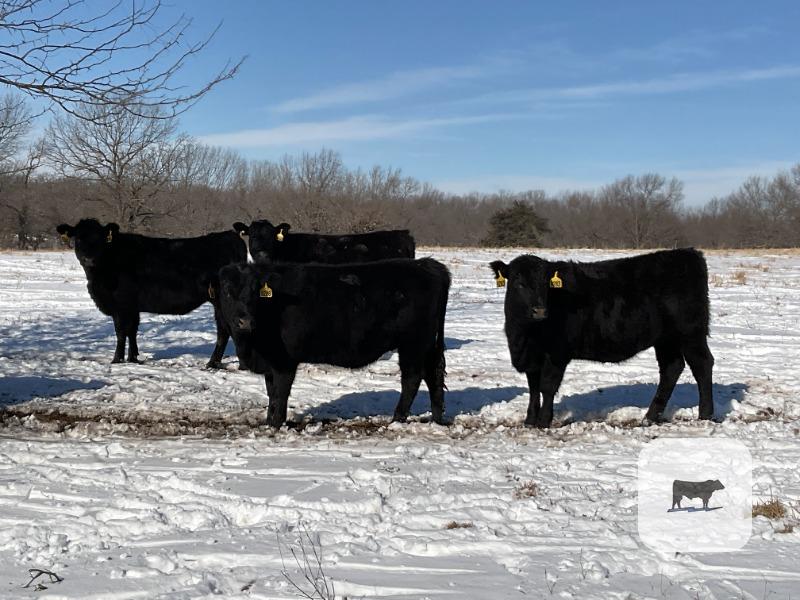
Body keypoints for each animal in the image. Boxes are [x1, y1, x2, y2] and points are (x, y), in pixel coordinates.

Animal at [56, 219, 247, 367]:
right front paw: (133, 358)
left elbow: (121, 332)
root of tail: (230, 236)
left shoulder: (121, 305)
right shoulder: (132, 307)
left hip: (222, 300)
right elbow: (132, 331)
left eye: (100, 239)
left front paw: (117, 359)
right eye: (78, 238)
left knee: (226, 328)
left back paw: (218, 363)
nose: (89, 258)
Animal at [218, 258, 450, 427]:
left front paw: (276, 424)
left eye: (254, 293)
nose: (246, 321)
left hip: (413, 343)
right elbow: (270, 392)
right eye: (227, 291)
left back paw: (397, 420)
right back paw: (436, 419)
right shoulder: (270, 361)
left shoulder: (285, 361)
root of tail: (425, 264)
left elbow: (280, 392)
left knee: (412, 378)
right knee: (433, 375)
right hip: (426, 345)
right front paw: (268, 421)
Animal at [489, 248, 715, 428]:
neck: (524, 335)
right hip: (666, 339)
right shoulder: (531, 357)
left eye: (546, 285)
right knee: (671, 368)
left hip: (691, 333)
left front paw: (544, 421)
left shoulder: (557, 354)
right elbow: (533, 388)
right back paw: (649, 417)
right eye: (518, 283)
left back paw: (705, 415)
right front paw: (529, 420)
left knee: (702, 364)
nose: (540, 310)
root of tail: (689, 253)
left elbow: (547, 387)